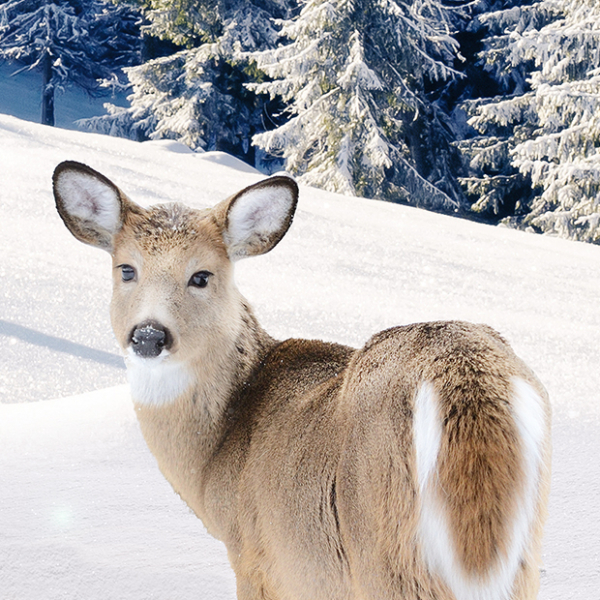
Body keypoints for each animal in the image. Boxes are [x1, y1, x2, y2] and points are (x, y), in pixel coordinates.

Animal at [54, 161, 552, 600]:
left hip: (385, 545)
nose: (149, 335)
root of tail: (467, 379)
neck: (215, 453)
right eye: (126, 269)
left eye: (201, 275)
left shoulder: (258, 555)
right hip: (521, 553)